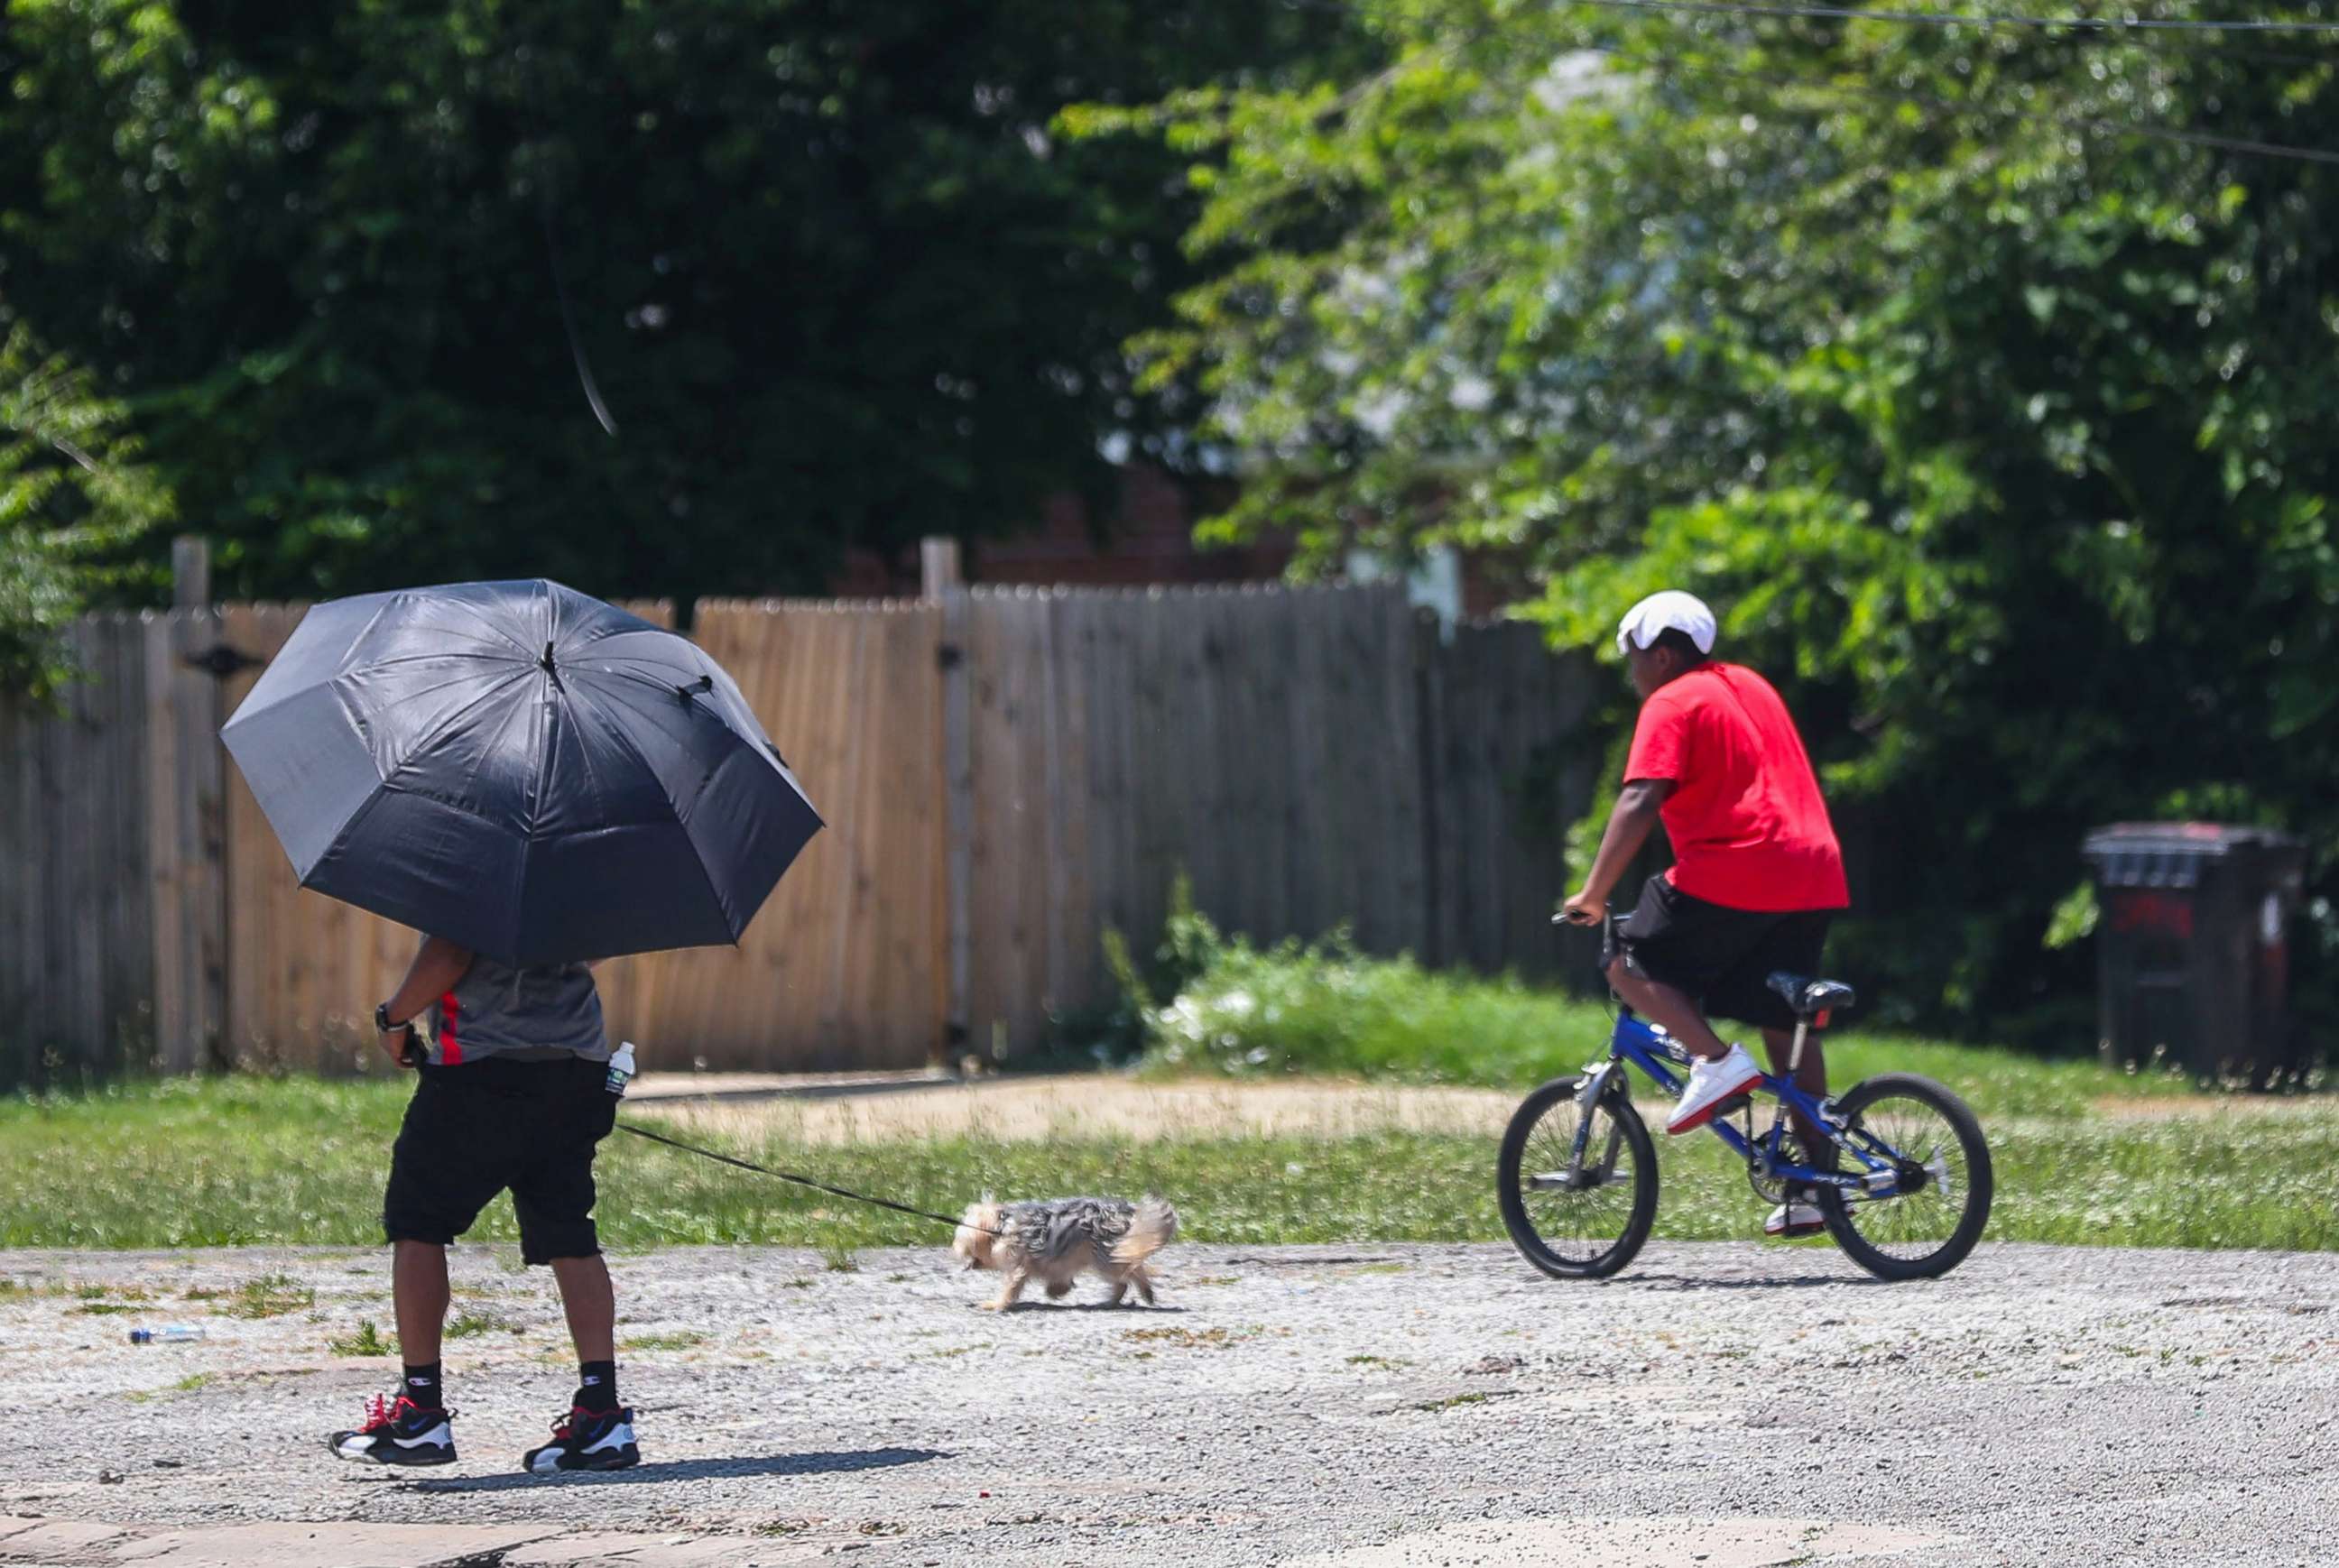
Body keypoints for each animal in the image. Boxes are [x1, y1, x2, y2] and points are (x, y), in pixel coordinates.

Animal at [949, 1196, 1179, 1308]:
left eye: (965, 1245)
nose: (965, 1262)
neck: (1000, 1227)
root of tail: (1125, 1213)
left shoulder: (1019, 1263)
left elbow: (1011, 1286)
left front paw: (995, 1304)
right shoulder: (1058, 1257)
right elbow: (1059, 1276)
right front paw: (1057, 1289)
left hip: (1105, 1256)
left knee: (1128, 1273)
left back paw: (1134, 1294)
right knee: (1130, 1270)